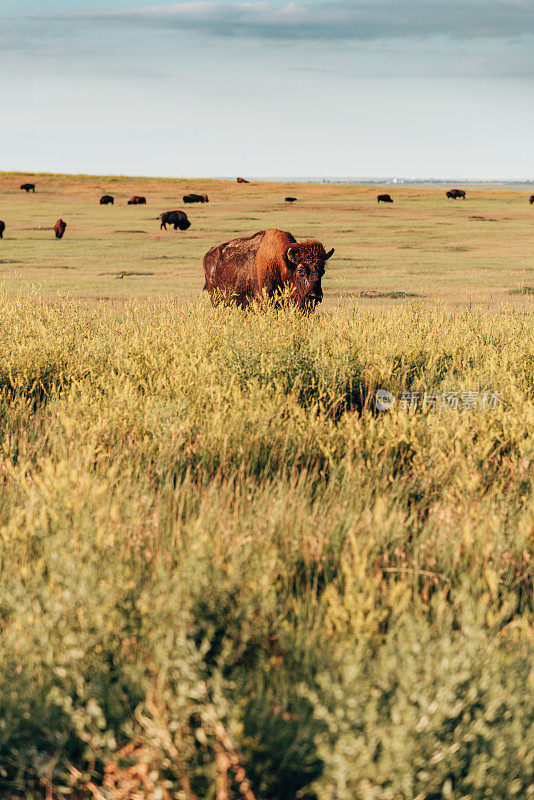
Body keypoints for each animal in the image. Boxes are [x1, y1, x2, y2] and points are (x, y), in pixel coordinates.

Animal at [204, 228, 336, 312]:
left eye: (322, 271)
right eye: (300, 271)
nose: (315, 297)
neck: (282, 264)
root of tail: (209, 253)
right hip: (215, 299)